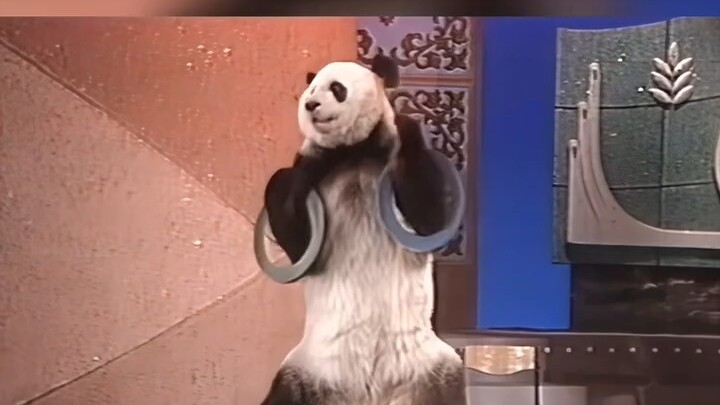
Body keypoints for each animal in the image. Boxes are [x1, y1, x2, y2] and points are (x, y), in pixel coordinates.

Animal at [260, 54, 467, 405]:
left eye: (336, 88)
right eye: (310, 90)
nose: (311, 105)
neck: (353, 151)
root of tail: (370, 393)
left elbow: (431, 220)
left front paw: (407, 125)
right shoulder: (317, 167)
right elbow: (300, 248)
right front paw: (283, 181)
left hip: (431, 369)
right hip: (305, 370)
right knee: (283, 392)